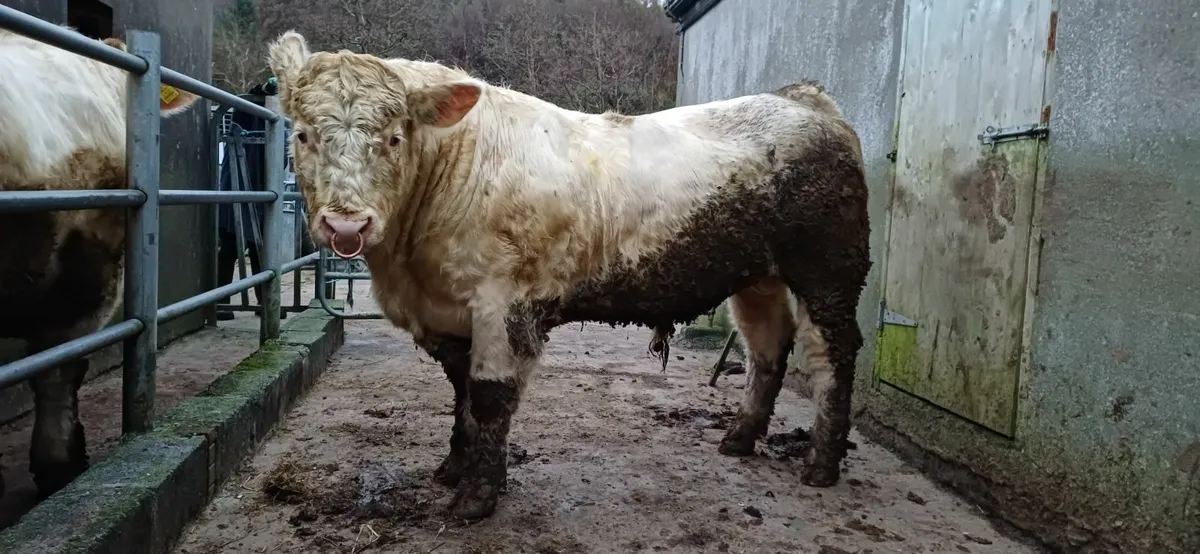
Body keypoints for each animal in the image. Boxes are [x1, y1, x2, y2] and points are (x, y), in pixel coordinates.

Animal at [266, 30, 870, 520]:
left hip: (828, 271)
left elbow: (489, 396)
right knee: (767, 349)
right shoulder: (448, 310)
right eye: (302, 134)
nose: (347, 223)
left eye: (394, 137)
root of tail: (799, 98)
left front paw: (477, 497)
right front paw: (454, 467)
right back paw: (740, 438)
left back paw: (821, 462)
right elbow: (460, 390)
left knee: (831, 354)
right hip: (758, 277)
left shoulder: (503, 303)